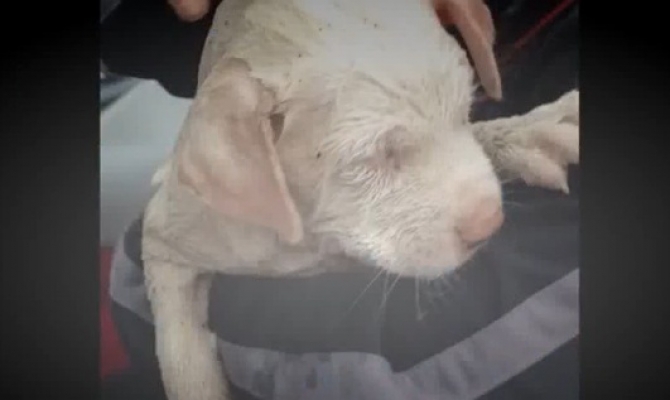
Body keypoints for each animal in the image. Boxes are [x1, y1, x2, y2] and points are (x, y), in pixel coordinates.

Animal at [142, 1, 579, 399]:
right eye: (369, 159)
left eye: (466, 109)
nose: (491, 223)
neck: (313, 238)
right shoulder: (167, 238)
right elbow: (184, 357)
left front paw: (525, 134)